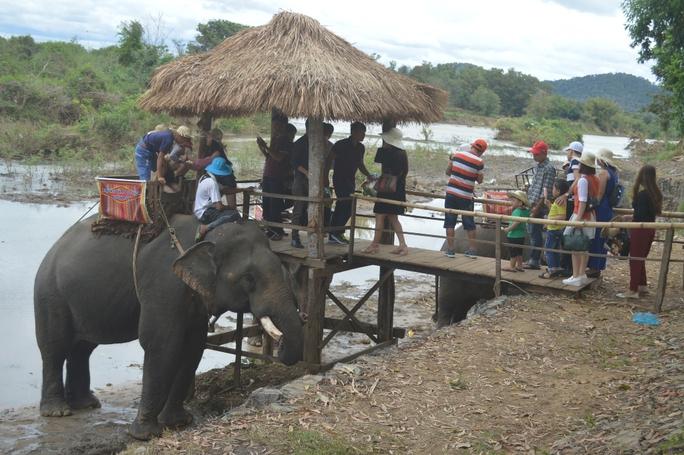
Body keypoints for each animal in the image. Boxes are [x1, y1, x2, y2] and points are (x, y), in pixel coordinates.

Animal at [33, 217, 302, 442]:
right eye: (249, 278)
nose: (280, 349)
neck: (205, 234)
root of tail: (52, 249)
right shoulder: (163, 285)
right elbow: (162, 344)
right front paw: (145, 435)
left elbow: (193, 347)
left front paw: (179, 422)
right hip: (49, 294)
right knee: (54, 348)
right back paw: (58, 412)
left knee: (82, 348)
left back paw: (87, 404)